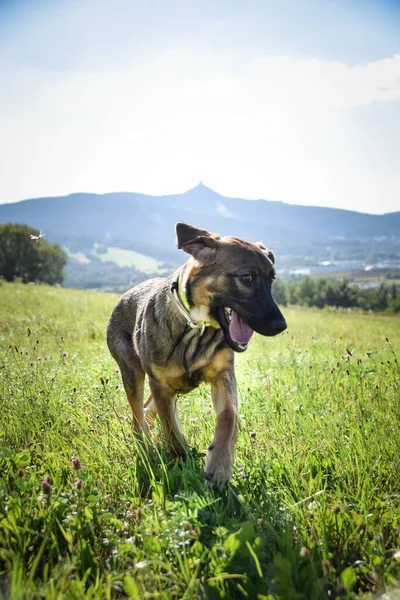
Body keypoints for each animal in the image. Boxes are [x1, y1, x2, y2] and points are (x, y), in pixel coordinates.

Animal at [107, 223, 288, 490]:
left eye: (271, 280)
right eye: (247, 278)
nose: (281, 326)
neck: (196, 326)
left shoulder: (223, 375)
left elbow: (229, 417)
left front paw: (219, 465)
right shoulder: (159, 383)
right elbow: (171, 429)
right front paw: (181, 456)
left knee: (148, 409)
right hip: (132, 372)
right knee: (138, 414)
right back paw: (146, 445)